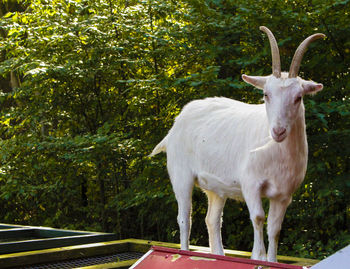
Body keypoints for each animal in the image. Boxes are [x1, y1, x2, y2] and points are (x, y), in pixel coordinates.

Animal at [150, 26, 326, 260]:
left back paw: (218, 255)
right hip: (181, 175)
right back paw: (185, 252)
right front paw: (257, 258)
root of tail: (176, 124)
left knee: (212, 220)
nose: (278, 131)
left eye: (298, 97)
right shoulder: (251, 184)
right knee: (184, 217)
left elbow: (275, 229)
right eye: (265, 94)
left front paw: (270, 260)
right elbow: (259, 218)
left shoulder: (284, 195)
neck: (276, 153)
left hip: (215, 188)